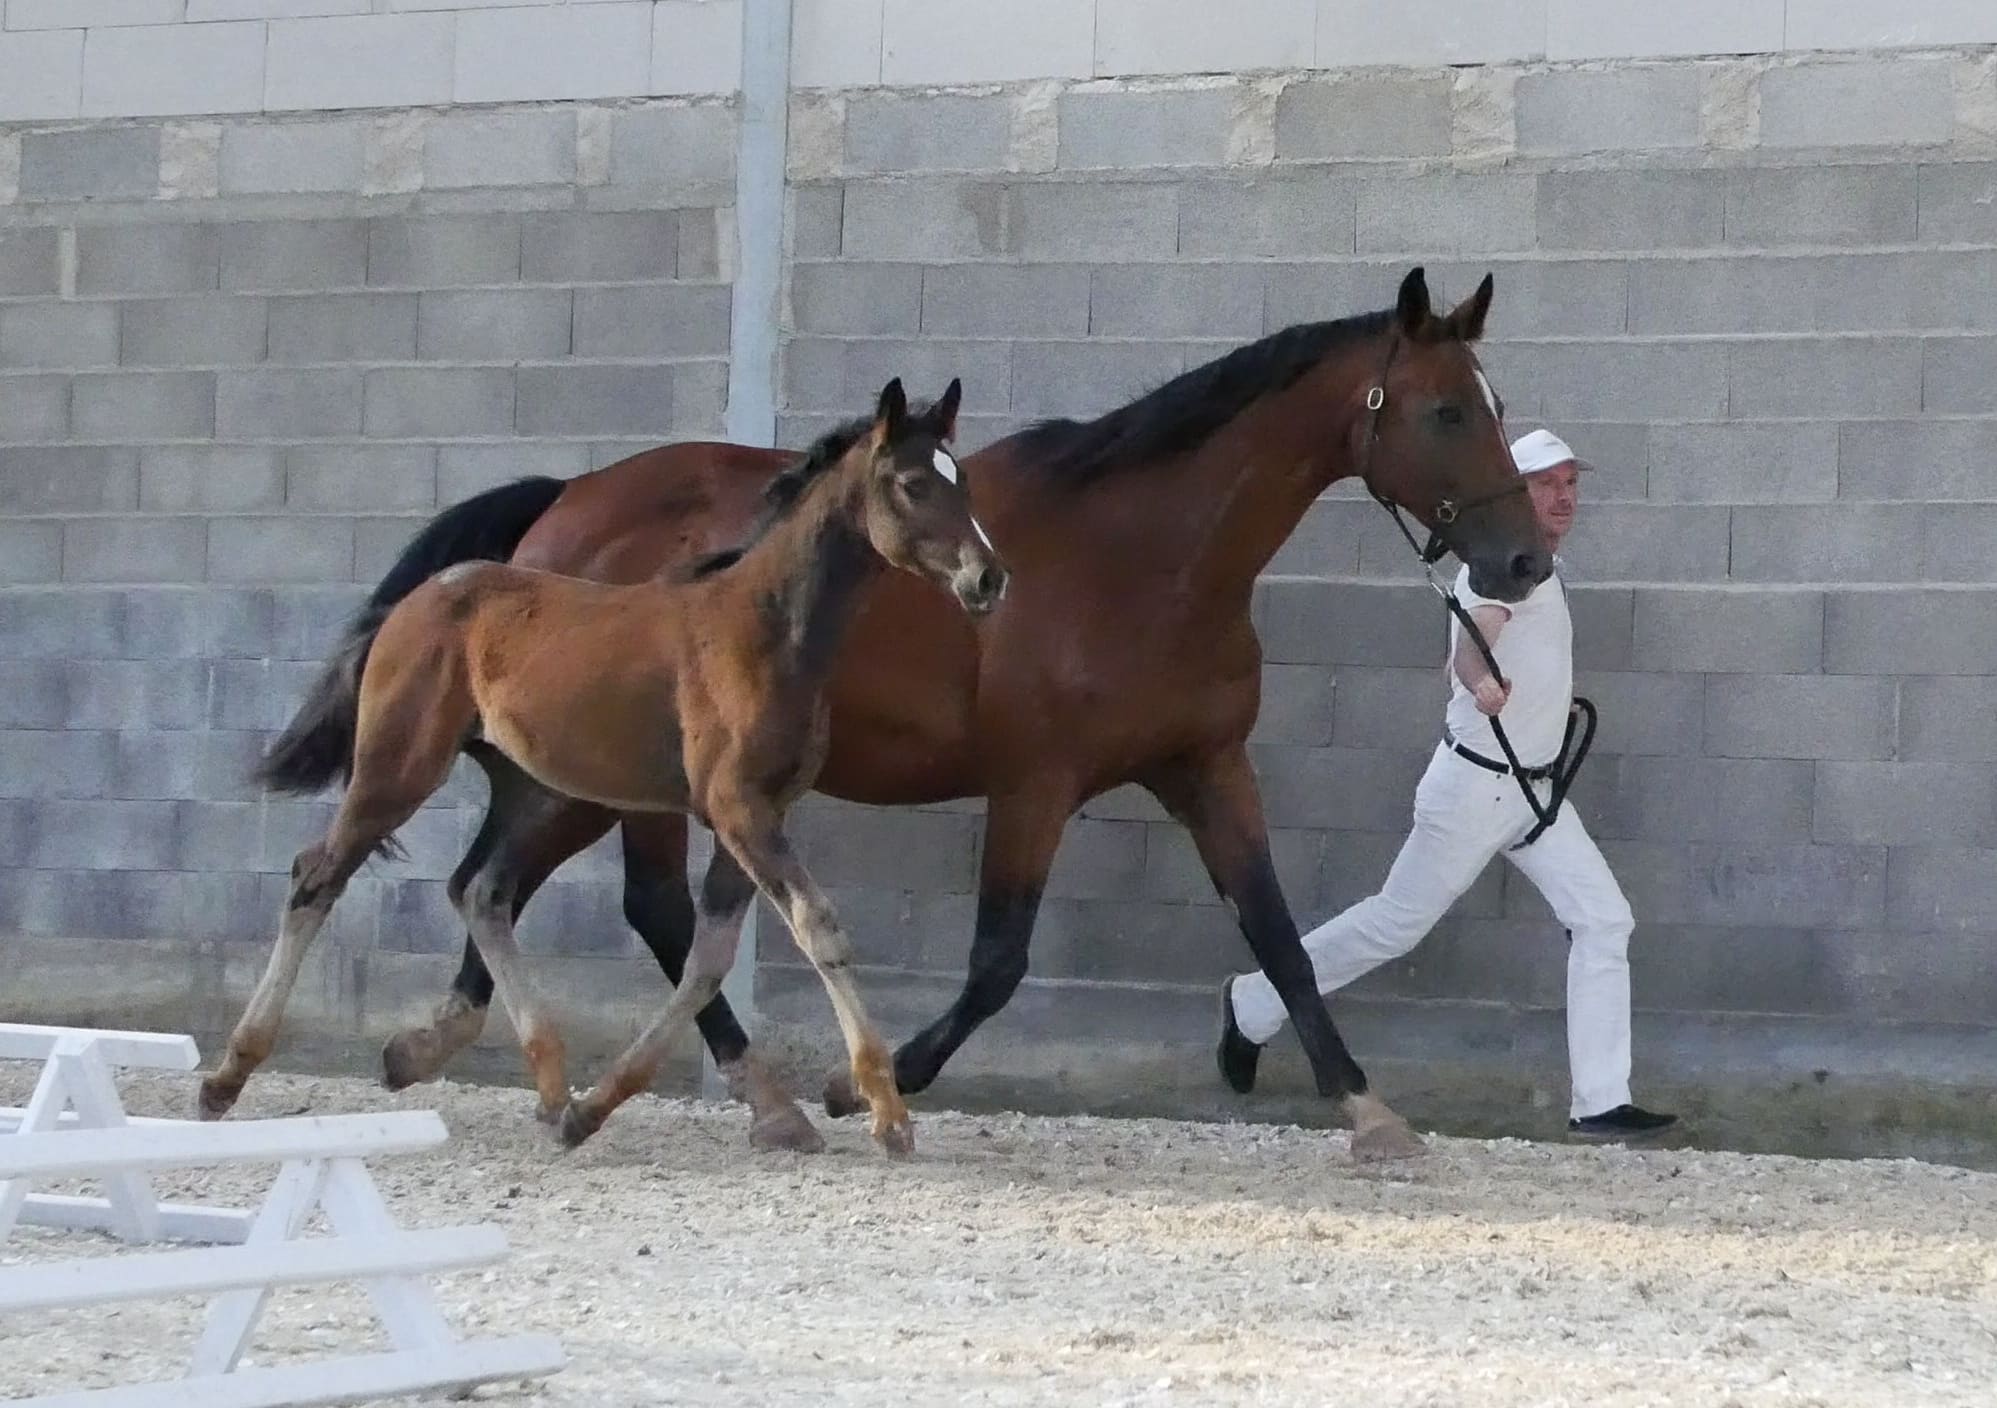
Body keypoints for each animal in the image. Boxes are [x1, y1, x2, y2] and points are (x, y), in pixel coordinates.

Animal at [257, 265, 1549, 1166]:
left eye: (1492, 403)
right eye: (1444, 411)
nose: (1523, 558)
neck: (1145, 552)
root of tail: (562, 501)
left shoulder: (1206, 767)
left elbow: (1278, 932)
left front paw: (1370, 1112)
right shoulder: (1034, 784)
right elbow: (995, 964)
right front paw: (861, 1086)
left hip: (587, 777)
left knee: (507, 883)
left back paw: (453, 1049)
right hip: (617, 783)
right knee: (611, 901)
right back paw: (755, 1096)